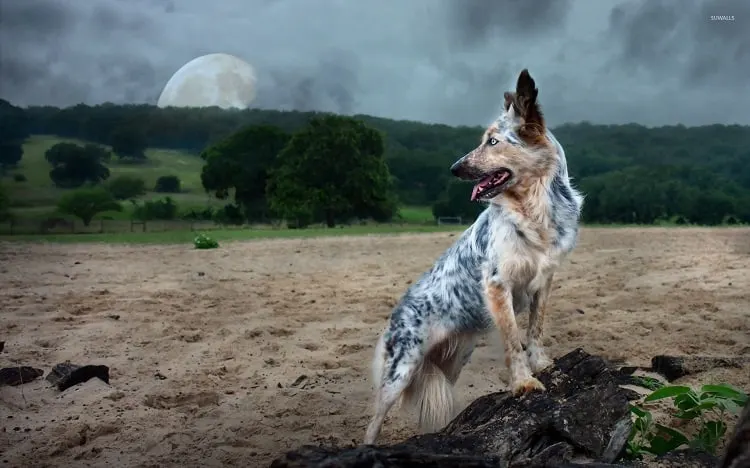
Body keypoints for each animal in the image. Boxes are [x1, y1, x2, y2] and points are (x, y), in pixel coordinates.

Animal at [366, 67, 588, 444]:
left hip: (453, 362)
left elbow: (535, 328)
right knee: (374, 420)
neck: (534, 208)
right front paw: (524, 382)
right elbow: (513, 340)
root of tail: (396, 313)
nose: (454, 168)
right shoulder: (498, 284)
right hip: (402, 368)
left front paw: (542, 364)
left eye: (493, 142)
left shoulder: (544, 279)